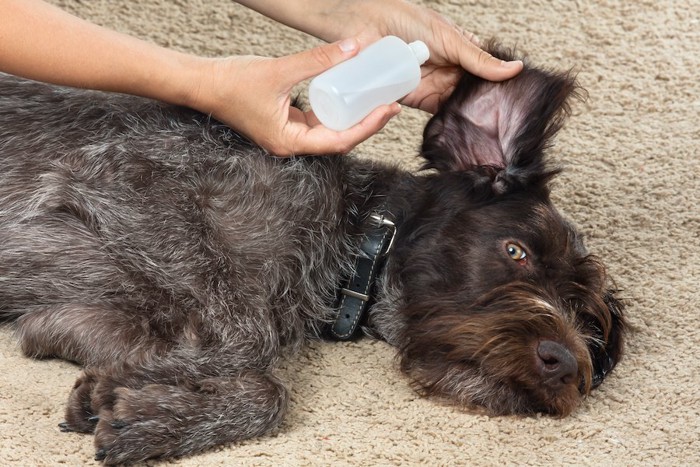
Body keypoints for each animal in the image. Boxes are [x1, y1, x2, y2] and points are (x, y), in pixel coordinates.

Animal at [0, 47, 624, 464]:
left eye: (592, 331)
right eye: (516, 251)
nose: (567, 365)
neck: (354, 228)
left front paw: (117, 377)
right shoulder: (130, 180)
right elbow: (256, 354)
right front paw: (154, 406)